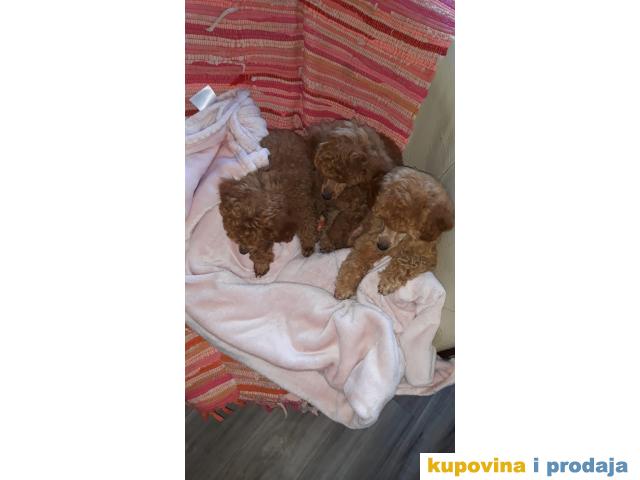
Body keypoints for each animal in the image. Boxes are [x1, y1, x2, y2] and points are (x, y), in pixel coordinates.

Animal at [219, 129, 319, 277]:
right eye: (237, 237)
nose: (242, 251)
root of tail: (284, 131)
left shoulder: (303, 207)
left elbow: (307, 226)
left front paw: (308, 244)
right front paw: (261, 263)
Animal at [306, 120, 402, 253]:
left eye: (344, 180)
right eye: (325, 172)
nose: (326, 195)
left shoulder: (357, 207)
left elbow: (340, 223)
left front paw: (329, 240)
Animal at [334, 166, 453, 299]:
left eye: (403, 230)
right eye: (384, 220)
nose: (382, 247)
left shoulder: (427, 255)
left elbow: (407, 262)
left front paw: (388, 281)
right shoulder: (372, 237)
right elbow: (357, 258)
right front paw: (344, 285)